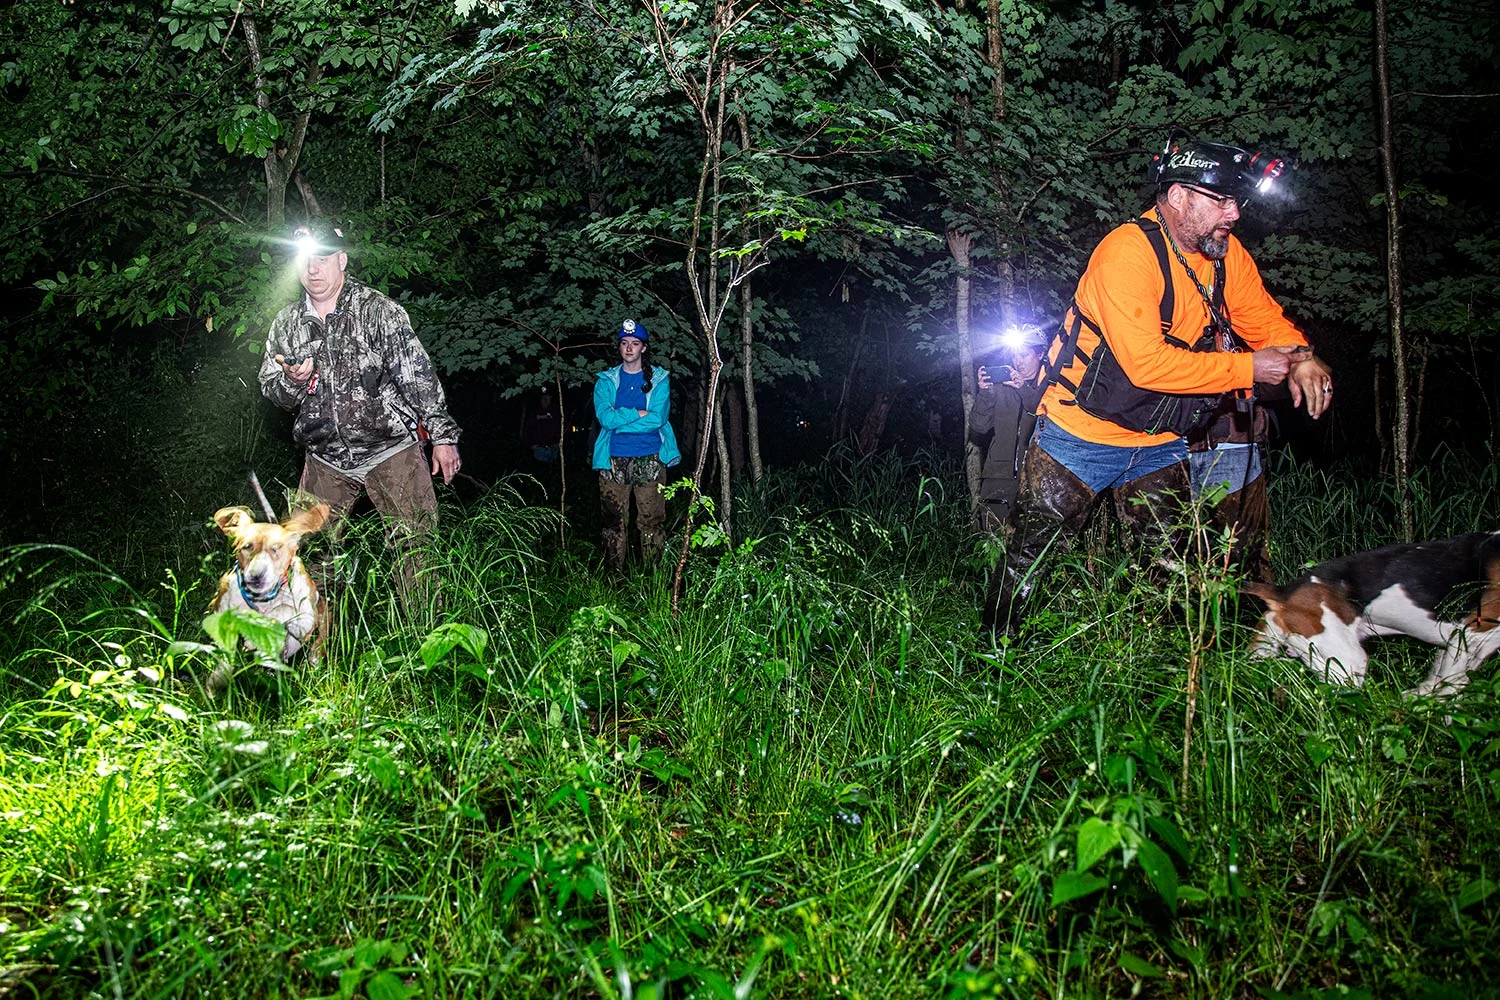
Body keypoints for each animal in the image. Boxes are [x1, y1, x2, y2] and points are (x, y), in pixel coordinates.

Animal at [208, 503, 328, 659]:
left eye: (277, 548)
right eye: (247, 546)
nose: (256, 575)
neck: (262, 599)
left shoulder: (306, 622)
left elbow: (283, 611)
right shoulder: (219, 606)